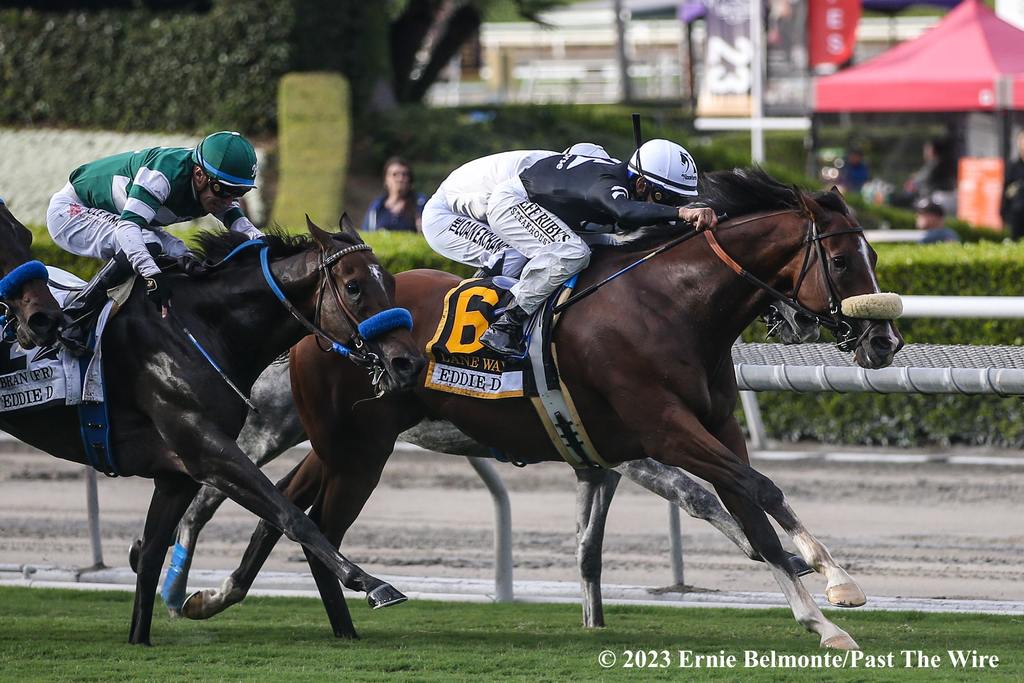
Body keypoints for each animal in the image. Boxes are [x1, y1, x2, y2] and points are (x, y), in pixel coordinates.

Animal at [0, 216, 423, 643]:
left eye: (389, 281)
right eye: (354, 286)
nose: (409, 363)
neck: (202, 327)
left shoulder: (178, 474)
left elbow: (151, 553)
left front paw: (141, 637)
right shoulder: (206, 449)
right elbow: (291, 516)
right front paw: (372, 584)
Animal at [180, 167, 901, 651]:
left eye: (873, 253)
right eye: (842, 258)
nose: (884, 340)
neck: (673, 304)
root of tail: (317, 322)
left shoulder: (714, 427)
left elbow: (753, 508)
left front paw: (822, 615)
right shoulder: (663, 431)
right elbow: (759, 489)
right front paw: (837, 581)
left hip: (345, 442)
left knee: (286, 506)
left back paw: (214, 597)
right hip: (352, 447)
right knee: (296, 511)